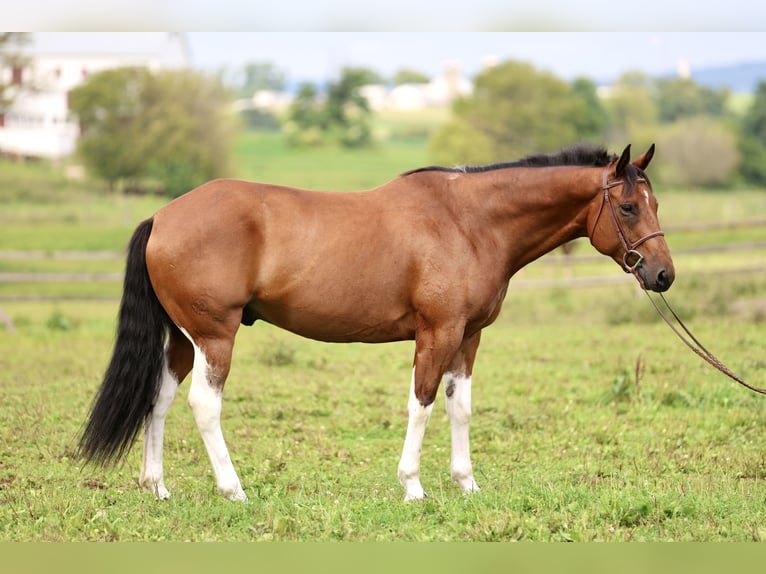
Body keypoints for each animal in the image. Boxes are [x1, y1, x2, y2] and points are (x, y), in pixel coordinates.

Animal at [78, 142, 675, 502]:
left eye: (655, 204)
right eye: (628, 207)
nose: (663, 274)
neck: (469, 222)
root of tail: (163, 216)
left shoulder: (469, 337)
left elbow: (460, 407)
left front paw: (466, 483)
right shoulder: (437, 333)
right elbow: (423, 403)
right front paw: (413, 485)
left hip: (184, 340)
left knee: (159, 399)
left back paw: (157, 485)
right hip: (213, 336)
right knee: (205, 404)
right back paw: (233, 489)